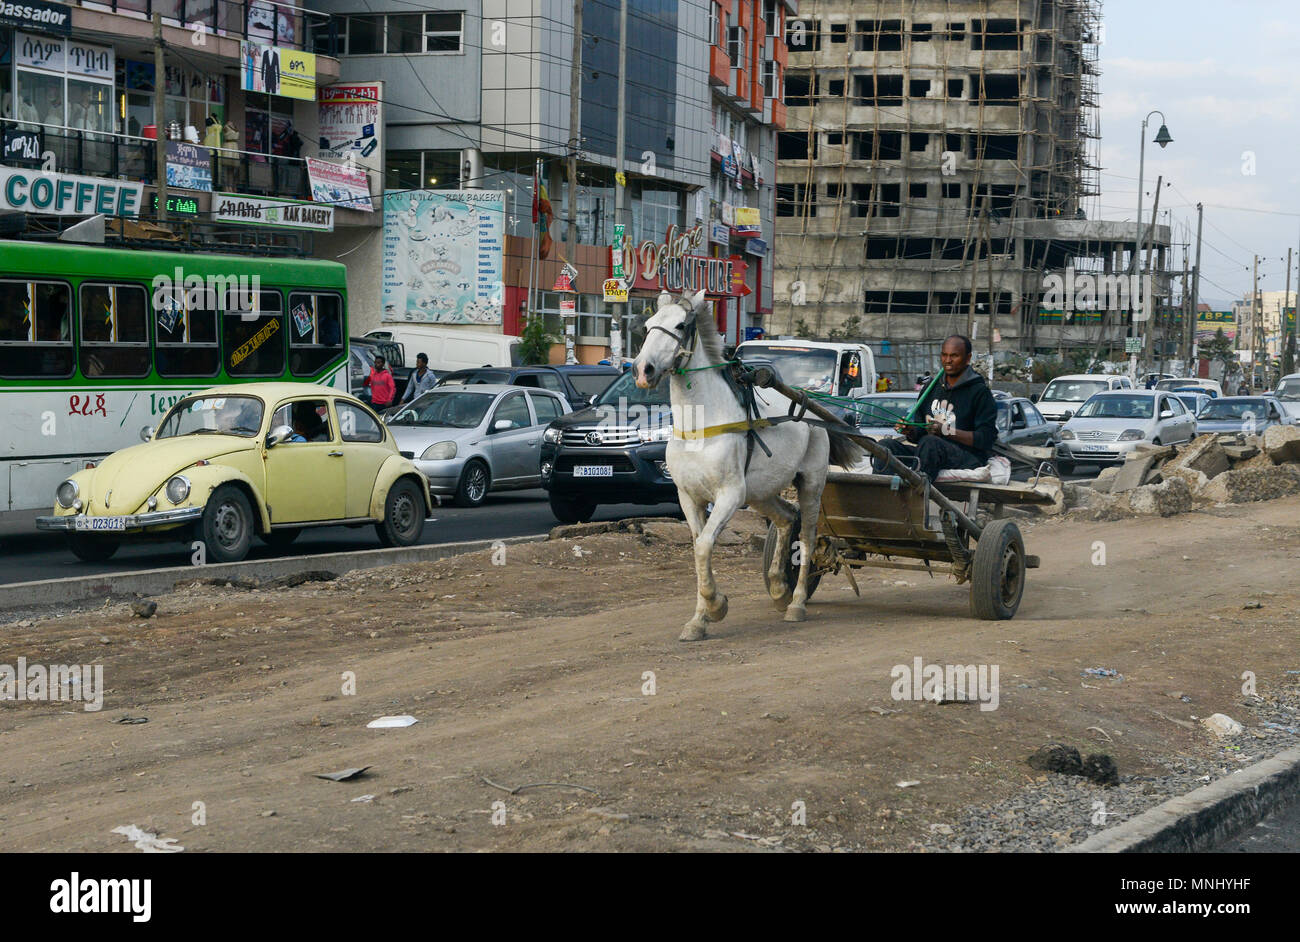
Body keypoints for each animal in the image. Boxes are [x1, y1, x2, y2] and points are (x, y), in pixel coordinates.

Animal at [631, 287, 863, 639]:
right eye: (647, 326)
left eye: (681, 325)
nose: (643, 370)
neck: (700, 428)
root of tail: (811, 405)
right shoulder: (688, 497)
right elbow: (698, 550)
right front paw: (698, 621)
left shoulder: (729, 495)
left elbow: (704, 547)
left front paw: (716, 606)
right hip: (760, 492)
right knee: (786, 519)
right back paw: (779, 587)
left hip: (810, 483)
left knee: (808, 537)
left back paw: (796, 603)